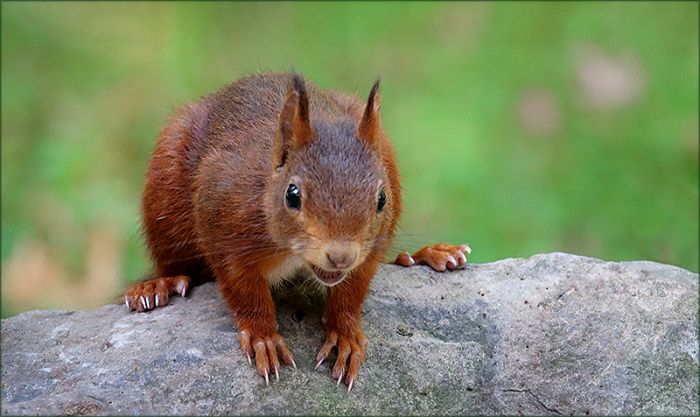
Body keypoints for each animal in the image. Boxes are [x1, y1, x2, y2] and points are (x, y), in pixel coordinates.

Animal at [123, 72, 471, 390]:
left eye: (382, 198)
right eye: (292, 195)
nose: (341, 256)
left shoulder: (368, 250)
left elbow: (353, 289)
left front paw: (345, 334)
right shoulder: (222, 223)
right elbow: (244, 290)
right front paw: (263, 336)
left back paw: (428, 255)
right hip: (165, 188)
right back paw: (157, 285)